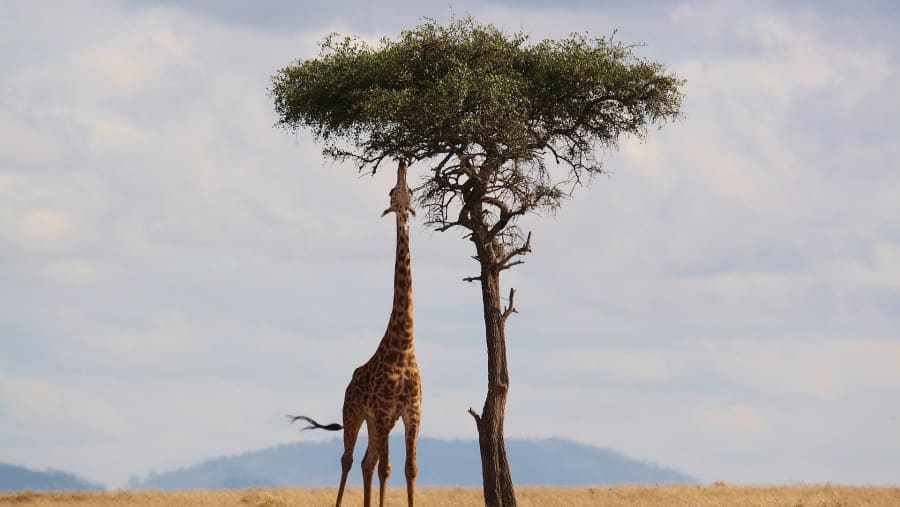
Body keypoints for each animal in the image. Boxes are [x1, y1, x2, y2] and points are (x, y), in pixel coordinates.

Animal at [290, 160, 422, 507]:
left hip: (374, 422)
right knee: (349, 460)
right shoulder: (386, 411)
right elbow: (388, 469)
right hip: (354, 413)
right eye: (392, 191)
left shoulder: (412, 412)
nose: (402, 162)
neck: (404, 345)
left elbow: (410, 469)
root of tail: (350, 382)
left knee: (366, 461)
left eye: (409, 190)